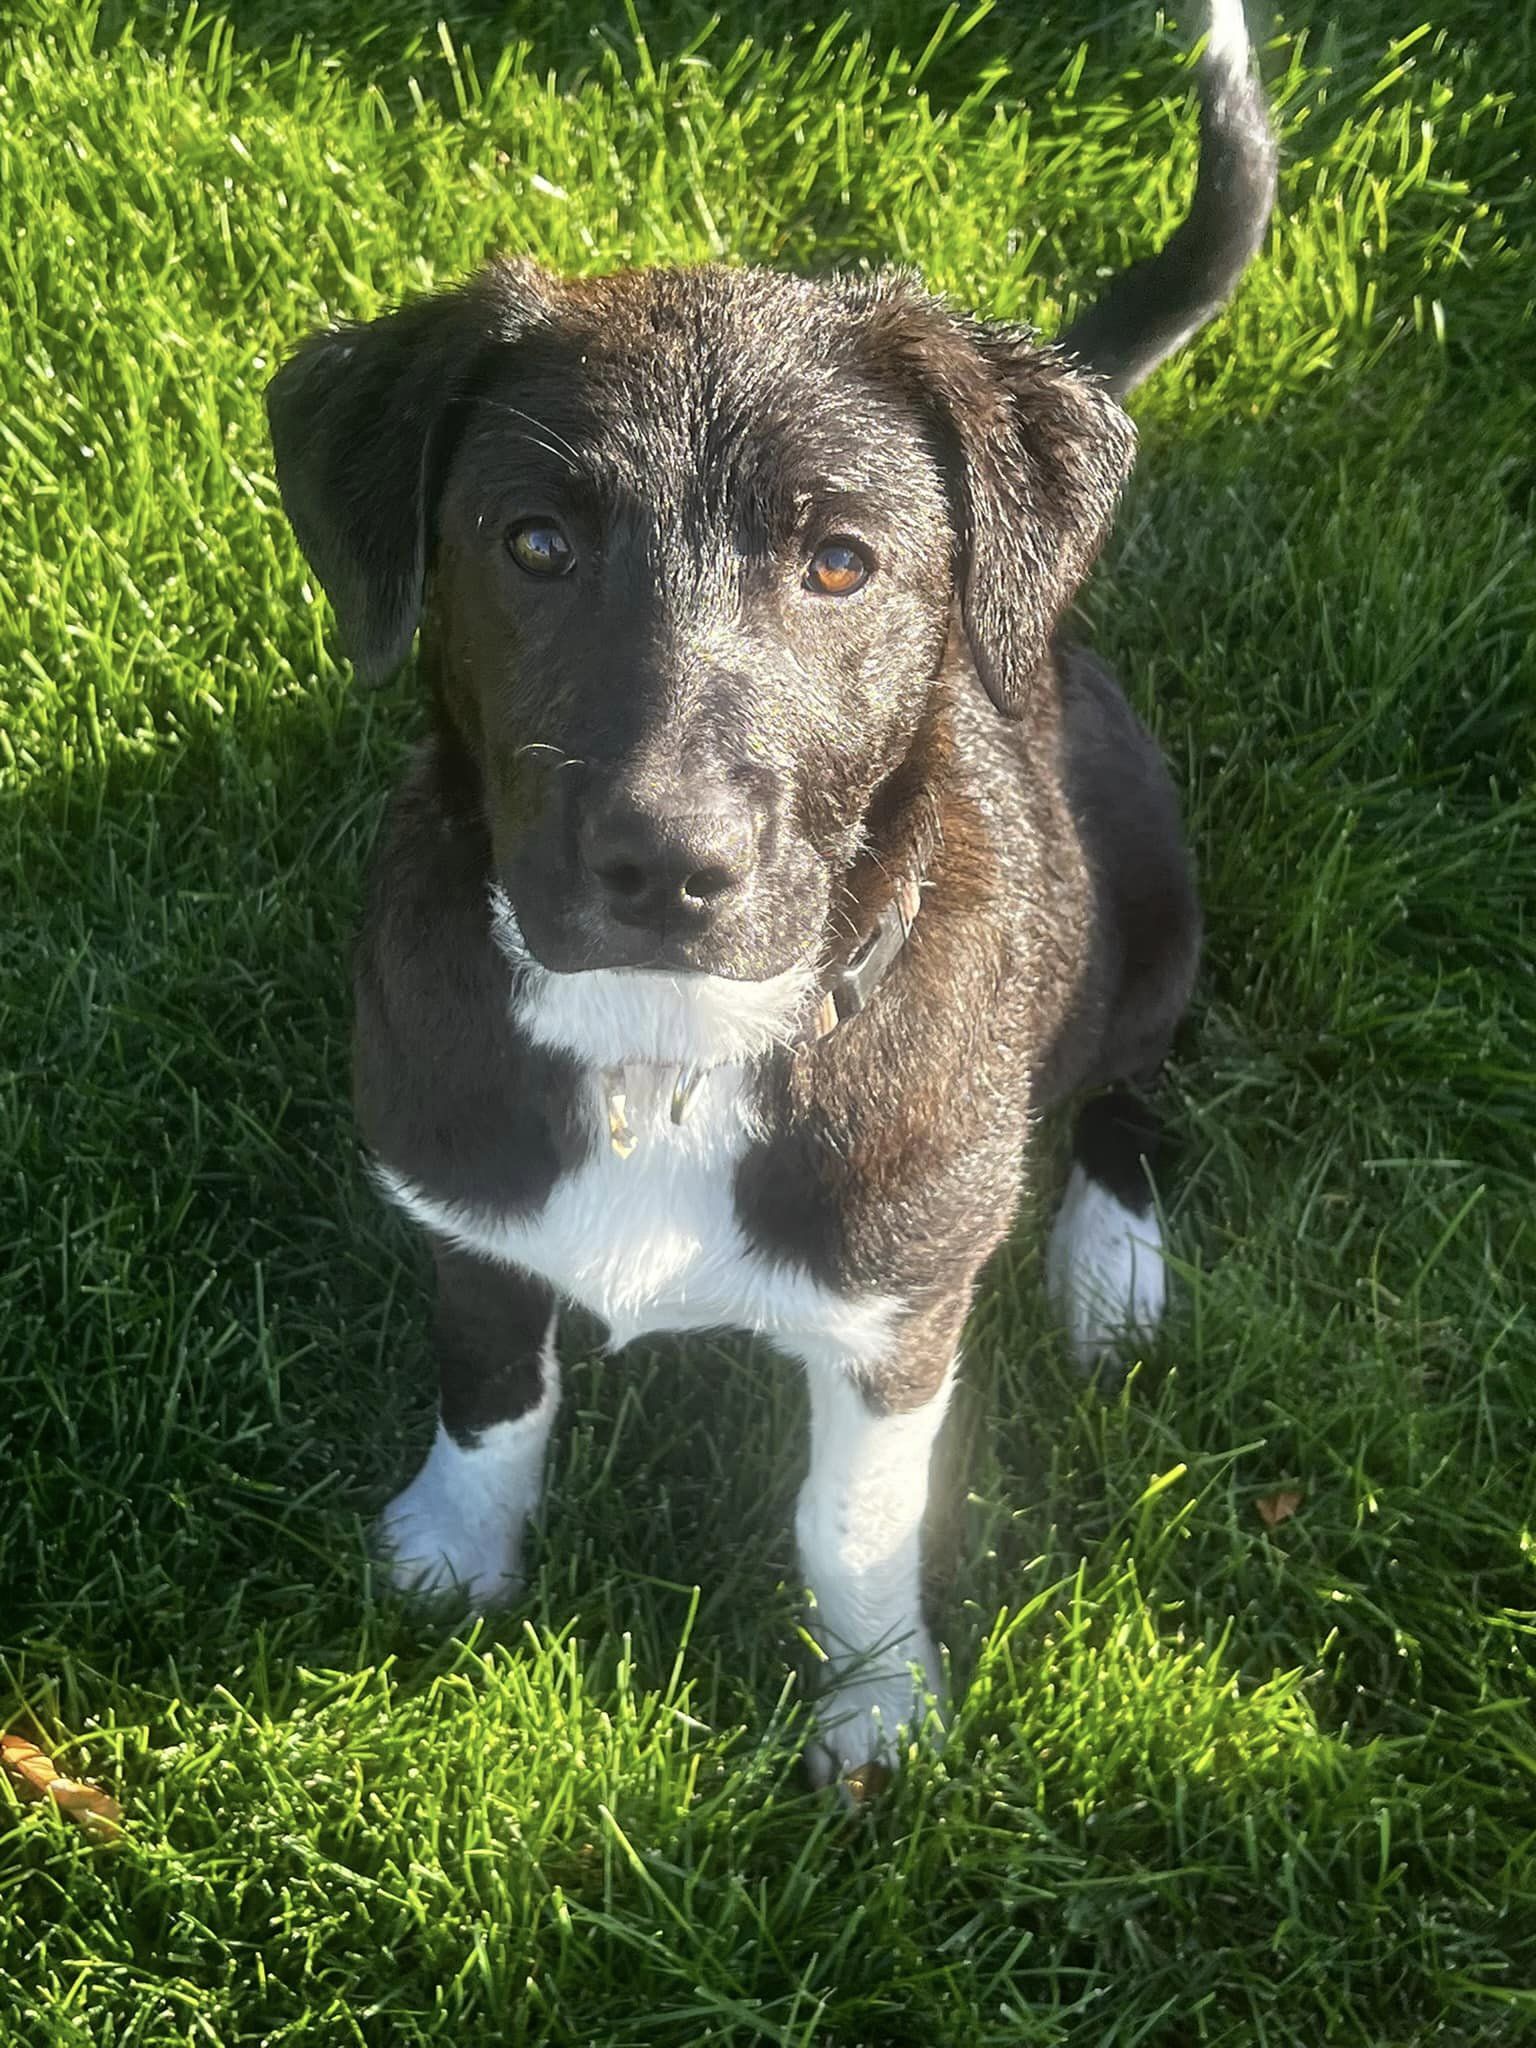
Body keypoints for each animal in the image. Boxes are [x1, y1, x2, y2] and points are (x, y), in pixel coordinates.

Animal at [264, 0, 1277, 1785]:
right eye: (533, 544)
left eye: (840, 563)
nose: (667, 868)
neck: (667, 1041)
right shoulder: (469, 1209)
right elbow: (490, 1387)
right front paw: (455, 1547)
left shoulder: (897, 1316)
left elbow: (852, 1519)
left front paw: (876, 1706)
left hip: (1154, 914)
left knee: (1134, 1087)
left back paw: (1111, 1260)